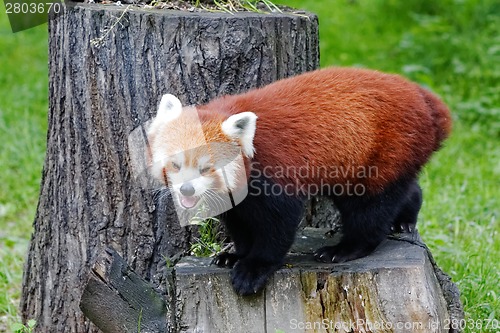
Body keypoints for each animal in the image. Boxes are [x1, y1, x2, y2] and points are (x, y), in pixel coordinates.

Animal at [146, 67, 454, 294]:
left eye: (206, 168)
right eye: (175, 164)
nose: (186, 189)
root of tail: (423, 97)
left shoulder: (275, 173)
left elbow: (278, 225)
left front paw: (254, 268)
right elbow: (240, 222)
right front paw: (235, 255)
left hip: (382, 150)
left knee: (370, 208)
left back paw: (345, 248)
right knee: (403, 188)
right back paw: (405, 219)